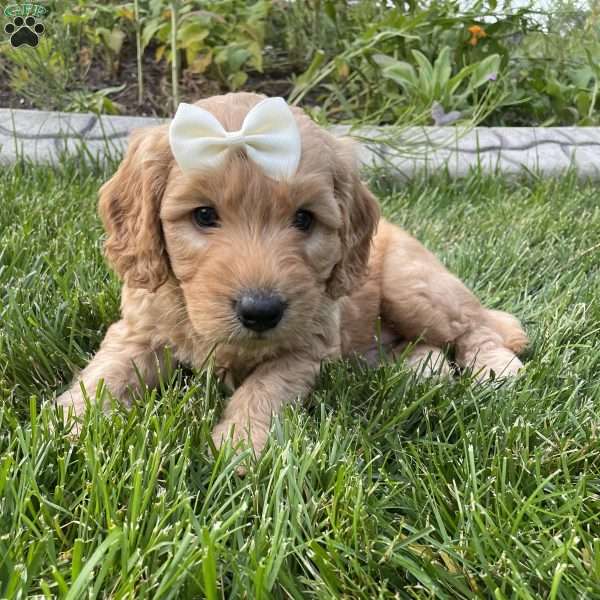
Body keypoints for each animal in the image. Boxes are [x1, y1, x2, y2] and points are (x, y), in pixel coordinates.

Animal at [56, 91, 524, 452]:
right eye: (204, 215)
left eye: (304, 219)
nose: (261, 312)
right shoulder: (138, 328)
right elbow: (106, 374)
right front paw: (65, 425)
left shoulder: (306, 346)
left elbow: (265, 389)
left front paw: (241, 446)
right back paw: (423, 370)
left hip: (411, 286)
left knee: (476, 327)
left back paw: (497, 371)